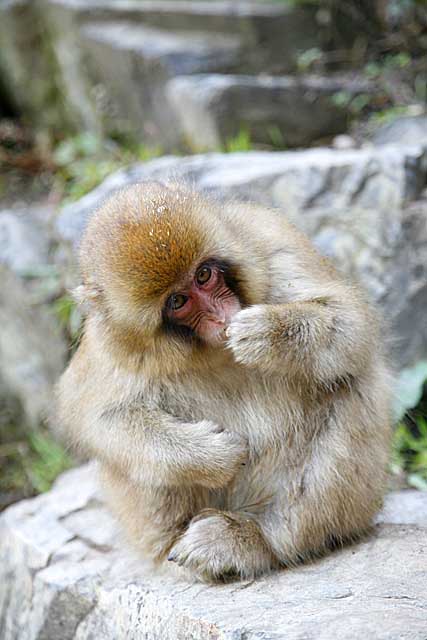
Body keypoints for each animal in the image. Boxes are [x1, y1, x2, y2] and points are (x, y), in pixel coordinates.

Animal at [55, 180, 392, 580]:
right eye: (178, 301)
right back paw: (177, 547)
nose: (221, 315)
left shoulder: (274, 241)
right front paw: (211, 454)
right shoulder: (113, 341)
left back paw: (257, 540)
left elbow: (352, 325)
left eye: (204, 275)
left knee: (347, 384)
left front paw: (269, 332)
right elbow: (98, 417)